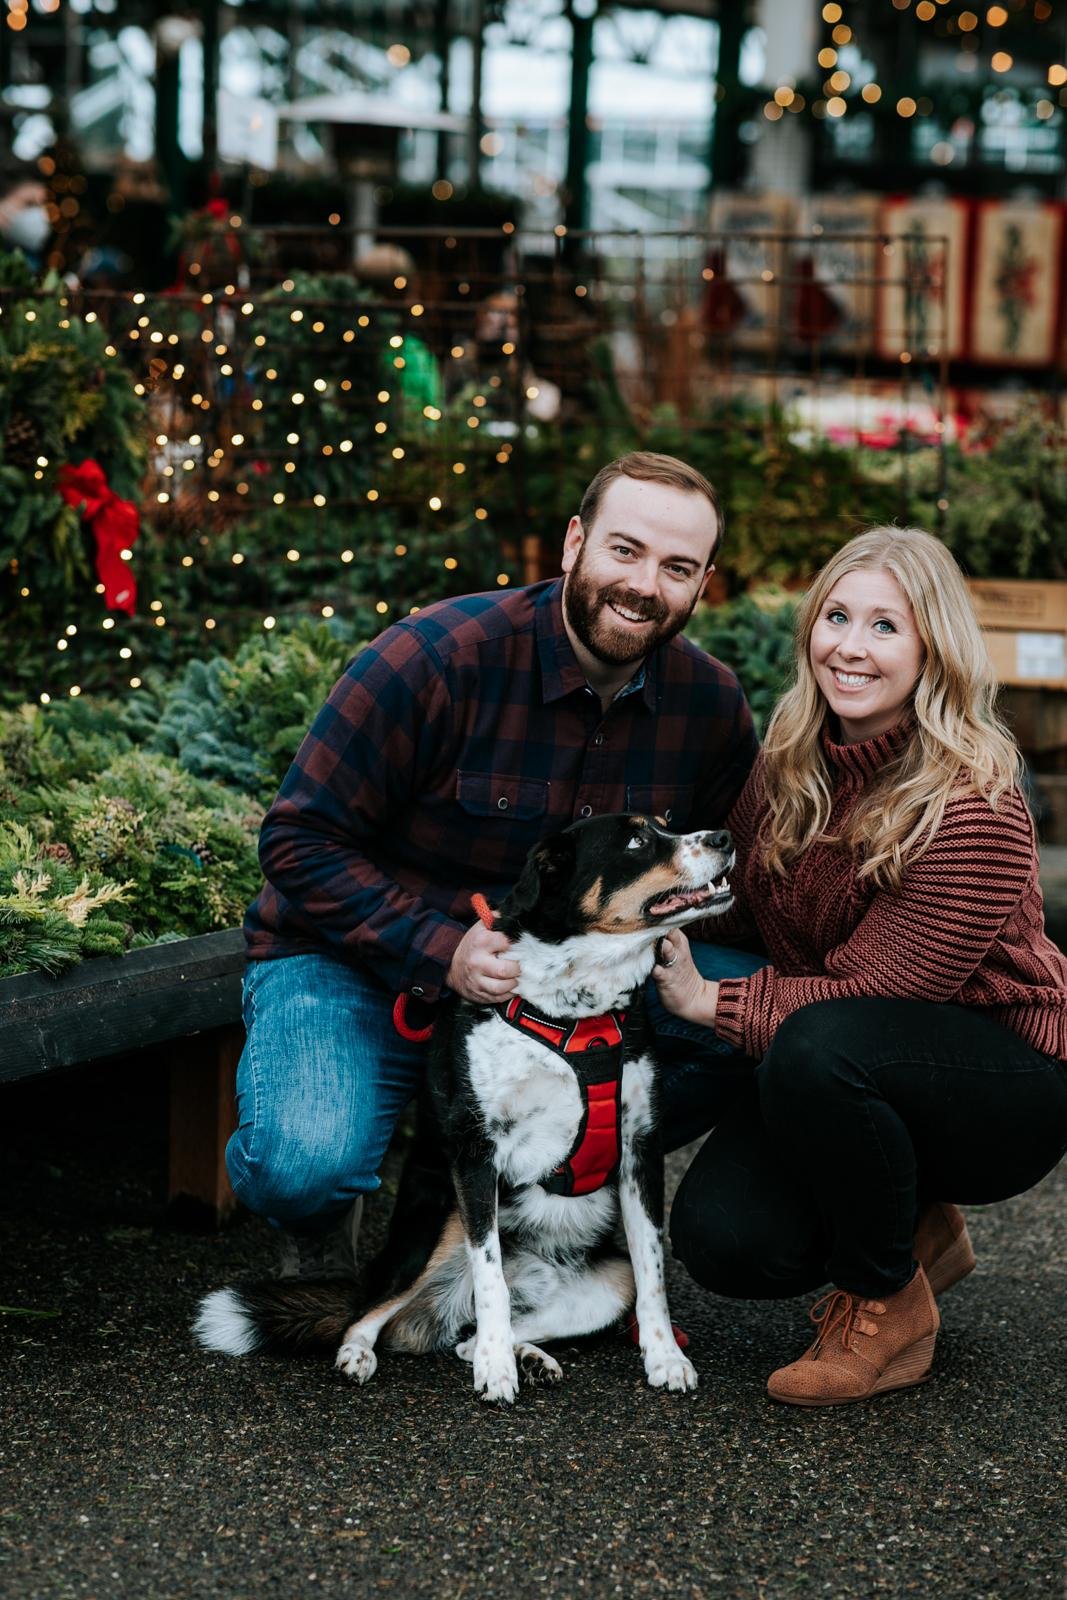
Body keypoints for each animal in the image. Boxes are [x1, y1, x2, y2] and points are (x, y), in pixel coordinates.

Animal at [194, 812, 735, 1401]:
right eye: (637, 841)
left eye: (667, 824)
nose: (725, 839)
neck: (574, 1014)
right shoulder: (477, 1152)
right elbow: (489, 1273)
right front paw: (496, 1370)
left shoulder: (640, 1147)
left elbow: (652, 1269)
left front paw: (664, 1357)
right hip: (438, 1229)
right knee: (373, 1315)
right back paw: (365, 1353)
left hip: (608, 1287)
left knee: (464, 1337)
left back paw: (526, 1355)